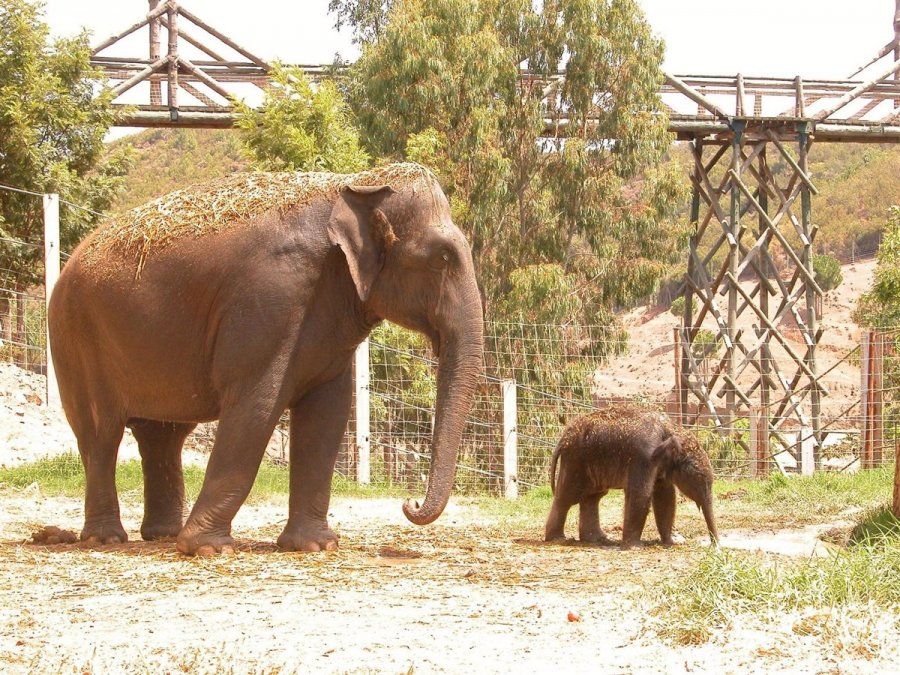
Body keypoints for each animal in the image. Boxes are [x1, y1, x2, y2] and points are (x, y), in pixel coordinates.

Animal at [48, 163, 484, 556]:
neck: (356, 182)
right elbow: (256, 406)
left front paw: (316, 546)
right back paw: (107, 539)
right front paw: (208, 549)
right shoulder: (270, 297)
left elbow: (327, 415)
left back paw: (162, 535)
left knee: (163, 435)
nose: (410, 503)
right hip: (73, 340)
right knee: (101, 434)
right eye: (443, 258)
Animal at [543, 406, 718, 549]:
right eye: (698, 477)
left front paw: (671, 542)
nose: (715, 546)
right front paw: (635, 547)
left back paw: (598, 539)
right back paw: (558, 539)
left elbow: (665, 496)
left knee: (593, 496)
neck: (671, 429)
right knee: (567, 497)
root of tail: (565, 435)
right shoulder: (643, 456)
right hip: (576, 460)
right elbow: (641, 494)